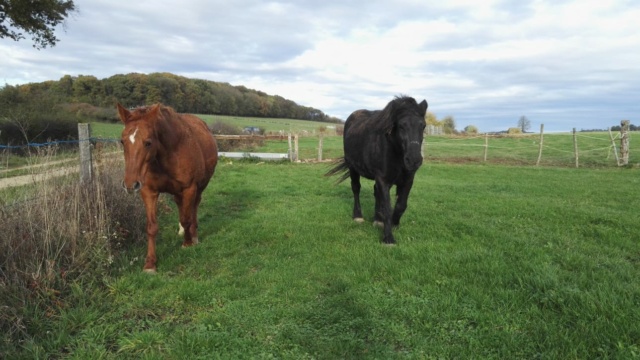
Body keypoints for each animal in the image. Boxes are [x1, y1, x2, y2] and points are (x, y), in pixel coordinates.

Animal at [118, 103, 220, 272]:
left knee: (194, 206)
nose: (130, 184)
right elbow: (151, 227)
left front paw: (187, 243)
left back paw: (194, 235)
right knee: (180, 205)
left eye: (148, 142)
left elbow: (186, 218)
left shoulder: (189, 188)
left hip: (200, 187)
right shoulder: (149, 192)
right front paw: (150, 263)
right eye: (122, 141)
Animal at [328, 95, 428, 245]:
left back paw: (377, 220)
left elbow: (400, 205)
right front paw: (388, 238)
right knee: (356, 189)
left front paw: (393, 223)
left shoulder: (407, 180)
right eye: (401, 126)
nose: (414, 160)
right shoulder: (383, 179)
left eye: (423, 126)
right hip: (353, 168)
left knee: (376, 192)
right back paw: (358, 216)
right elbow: (387, 207)